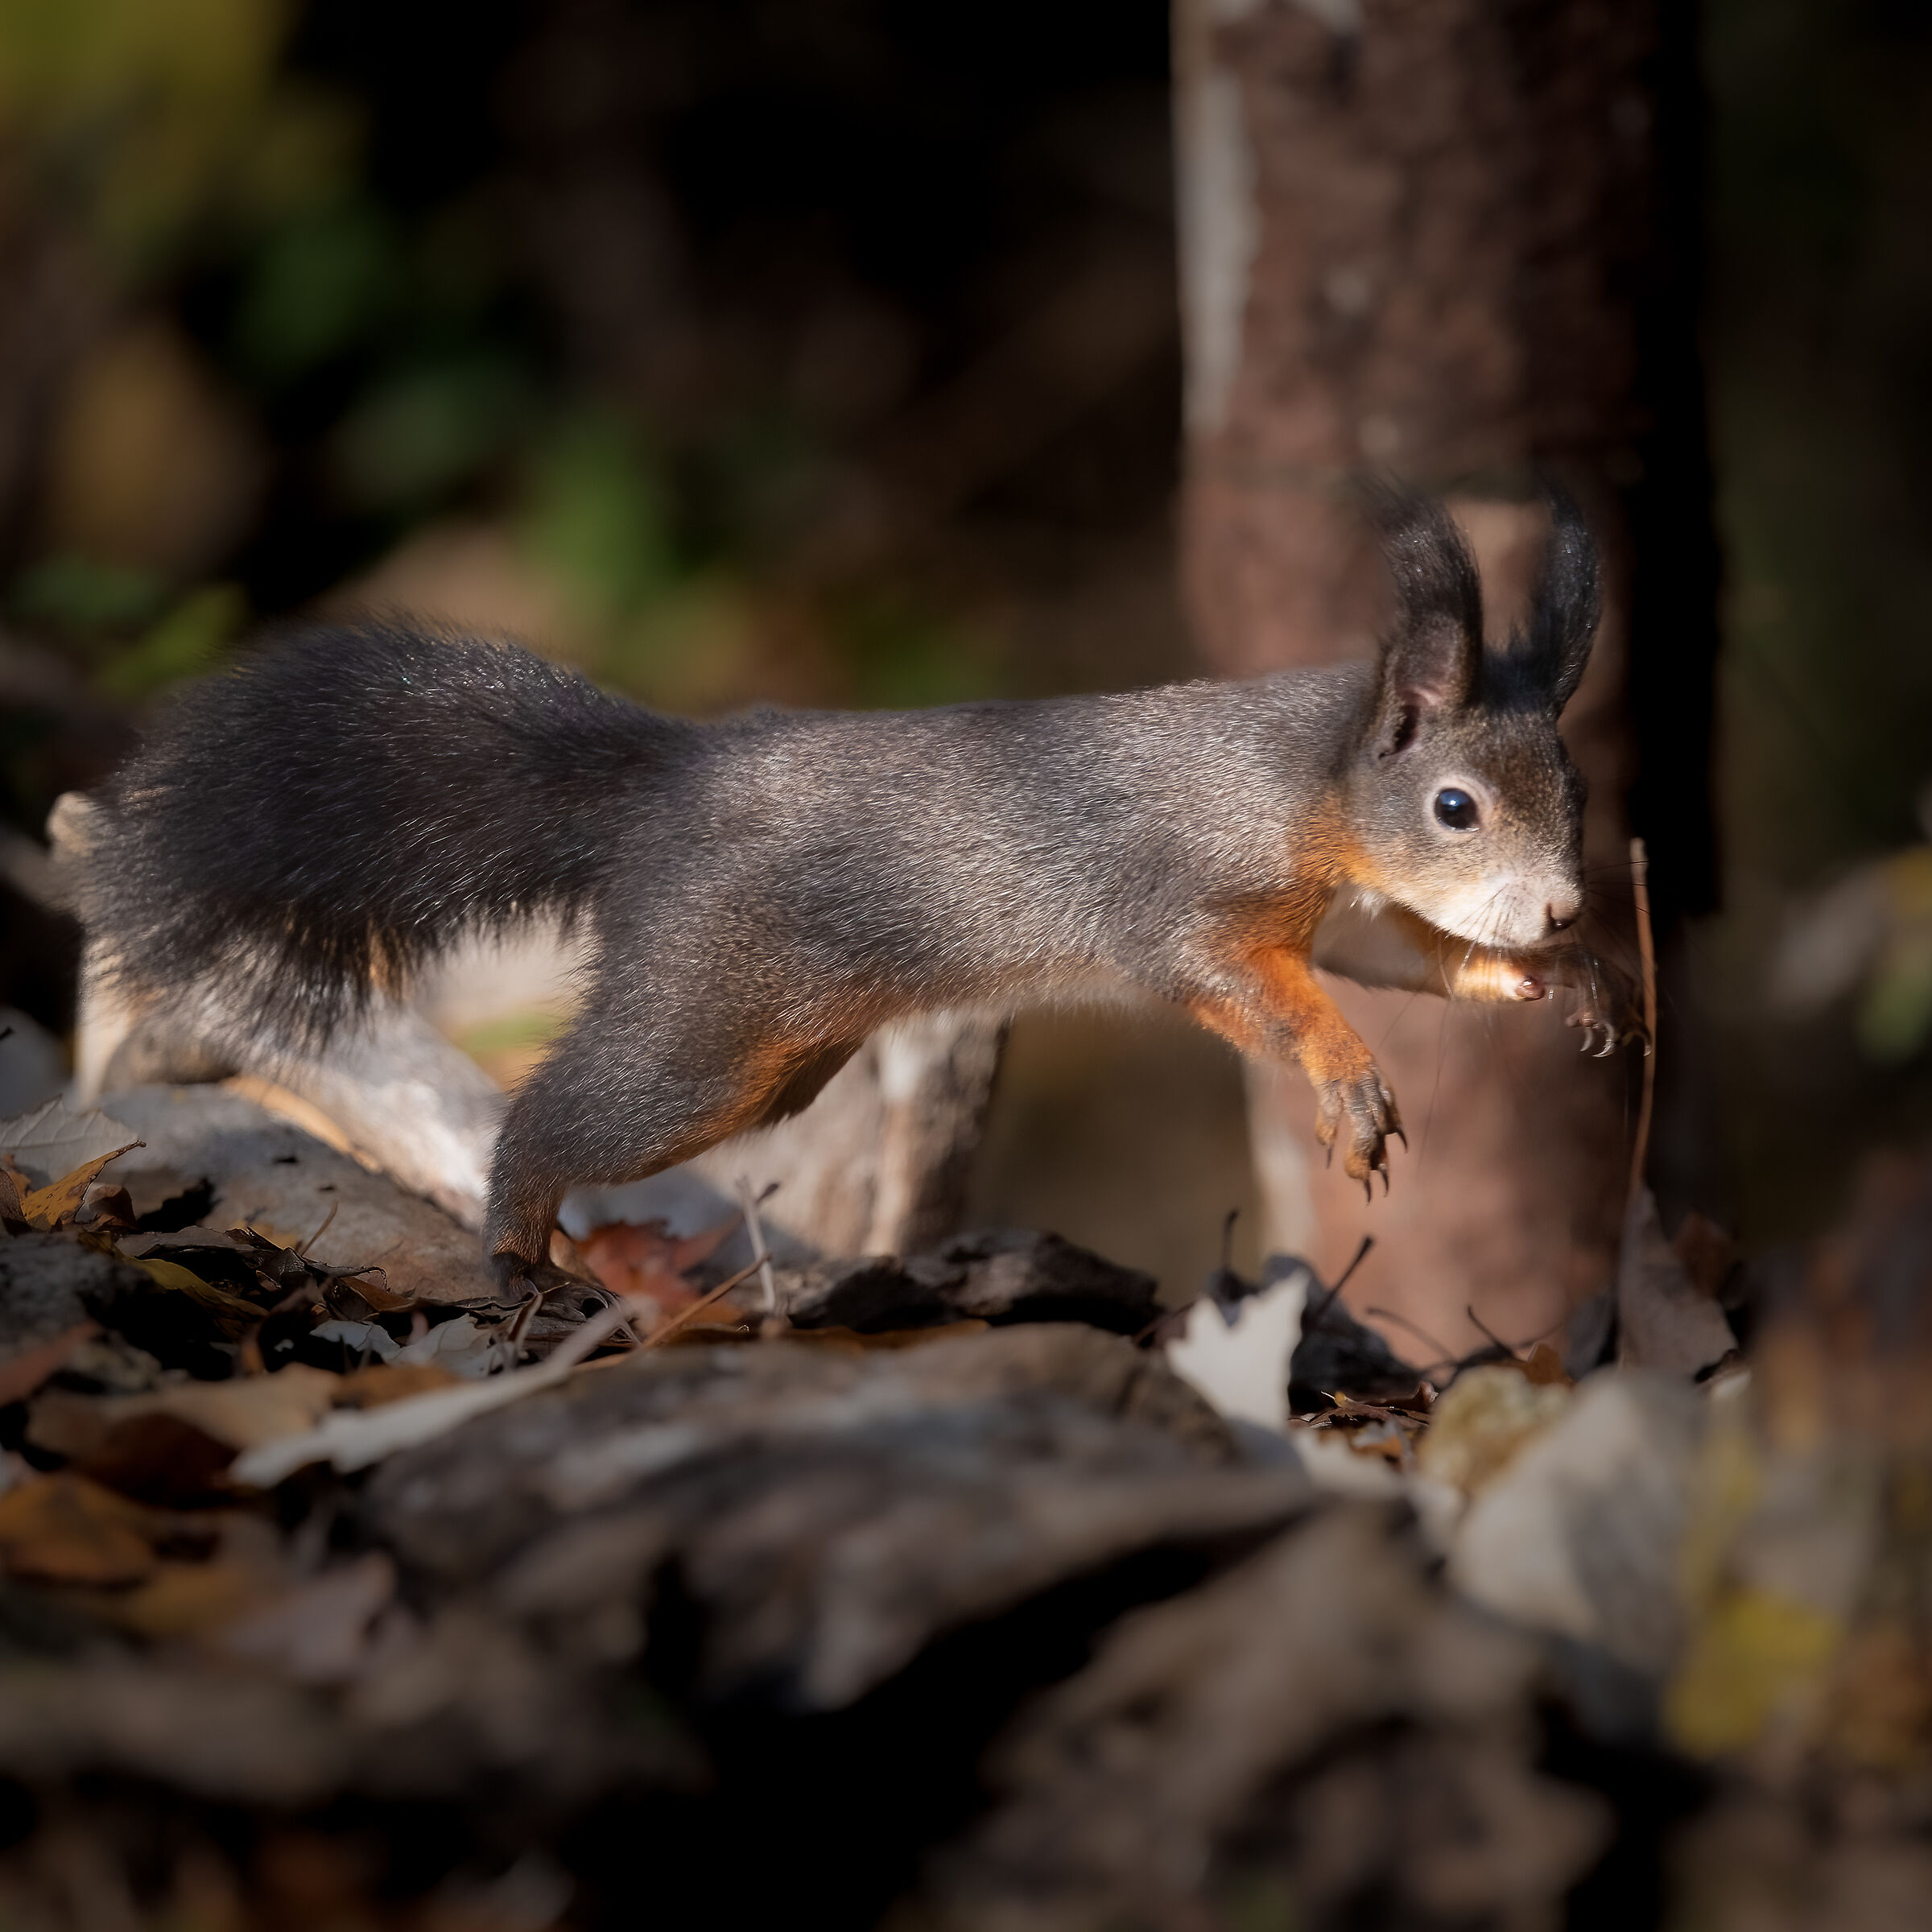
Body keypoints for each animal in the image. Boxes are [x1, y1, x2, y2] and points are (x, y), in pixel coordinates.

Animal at [73, 491, 1635, 1289]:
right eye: (1454, 806)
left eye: (1579, 788)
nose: (1563, 907)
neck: (1305, 779)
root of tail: (671, 780)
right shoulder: (1180, 897)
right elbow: (1246, 984)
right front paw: (1347, 1078)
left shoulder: (1348, 908)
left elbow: (1398, 952)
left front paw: (1546, 978)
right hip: (703, 1028)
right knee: (554, 1119)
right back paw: (517, 1246)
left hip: (778, 1059)